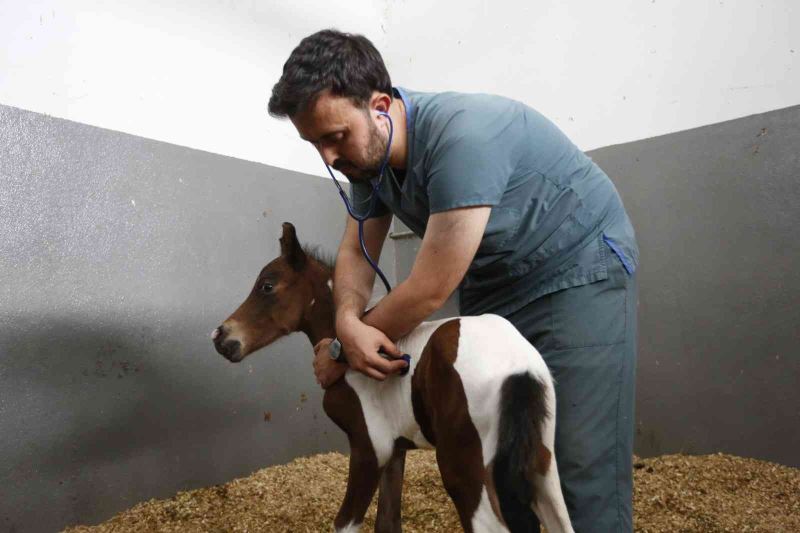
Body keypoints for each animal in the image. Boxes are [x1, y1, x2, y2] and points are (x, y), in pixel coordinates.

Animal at [212, 221, 576, 532]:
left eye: (267, 286)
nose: (221, 338)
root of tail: (519, 365)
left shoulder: (370, 447)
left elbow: (346, 523)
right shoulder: (396, 450)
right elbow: (388, 522)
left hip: (465, 469)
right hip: (542, 466)